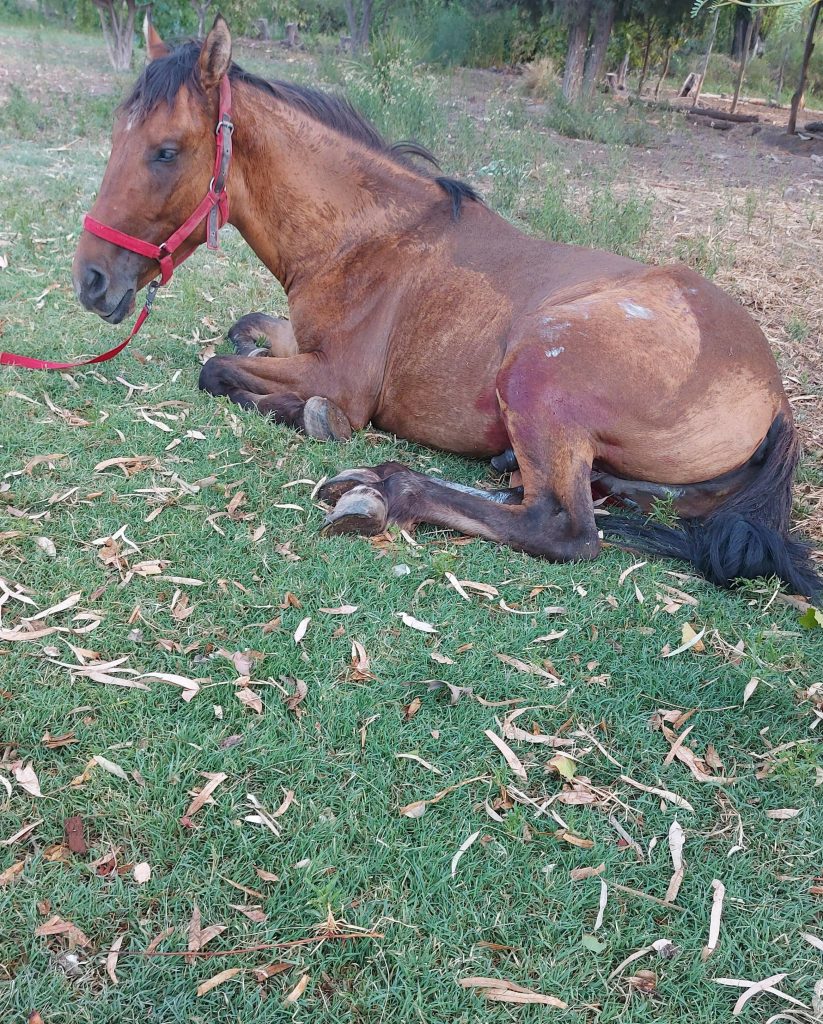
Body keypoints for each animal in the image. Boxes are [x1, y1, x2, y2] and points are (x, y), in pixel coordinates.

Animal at [72, 17, 820, 599]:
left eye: (166, 150)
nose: (91, 281)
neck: (367, 237)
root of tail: (775, 394)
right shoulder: (305, 341)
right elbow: (245, 334)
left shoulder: (340, 376)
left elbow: (218, 368)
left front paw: (314, 416)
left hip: (537, 372)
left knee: (560, 526)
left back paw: (383, 492)